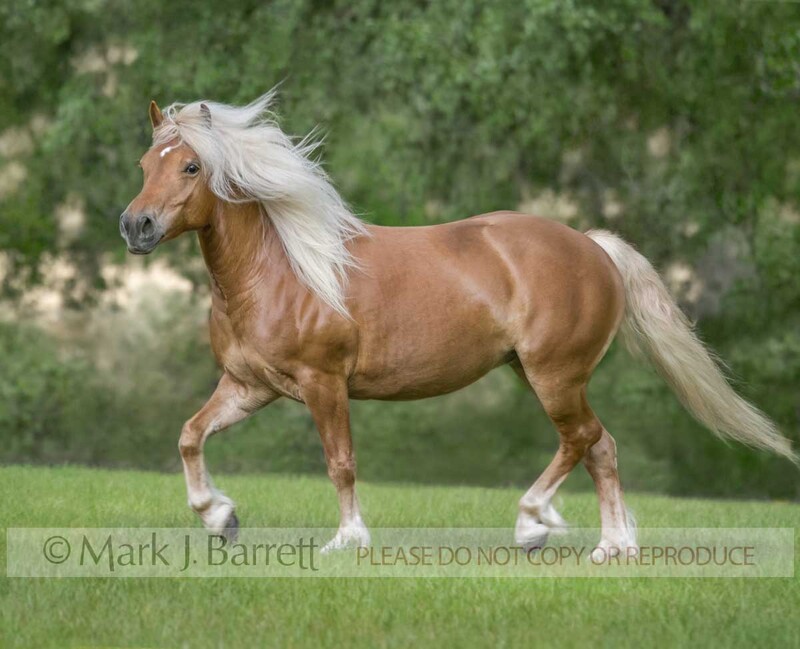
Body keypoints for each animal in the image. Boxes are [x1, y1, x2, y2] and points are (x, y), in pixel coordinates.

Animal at [120, 92, 796, 557]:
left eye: (190, 167)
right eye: (144, 163)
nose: (135, 226)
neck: (281, 271)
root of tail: (594, 248)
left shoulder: (323, 384)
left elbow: (341, 462)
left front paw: (348, 540)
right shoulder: (249, 386)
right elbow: (189, 435)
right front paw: (220, 517)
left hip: (554, 375)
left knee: (581, 440)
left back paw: (532, 524)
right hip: (540, 374)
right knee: (601, 446)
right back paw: (612, 548)